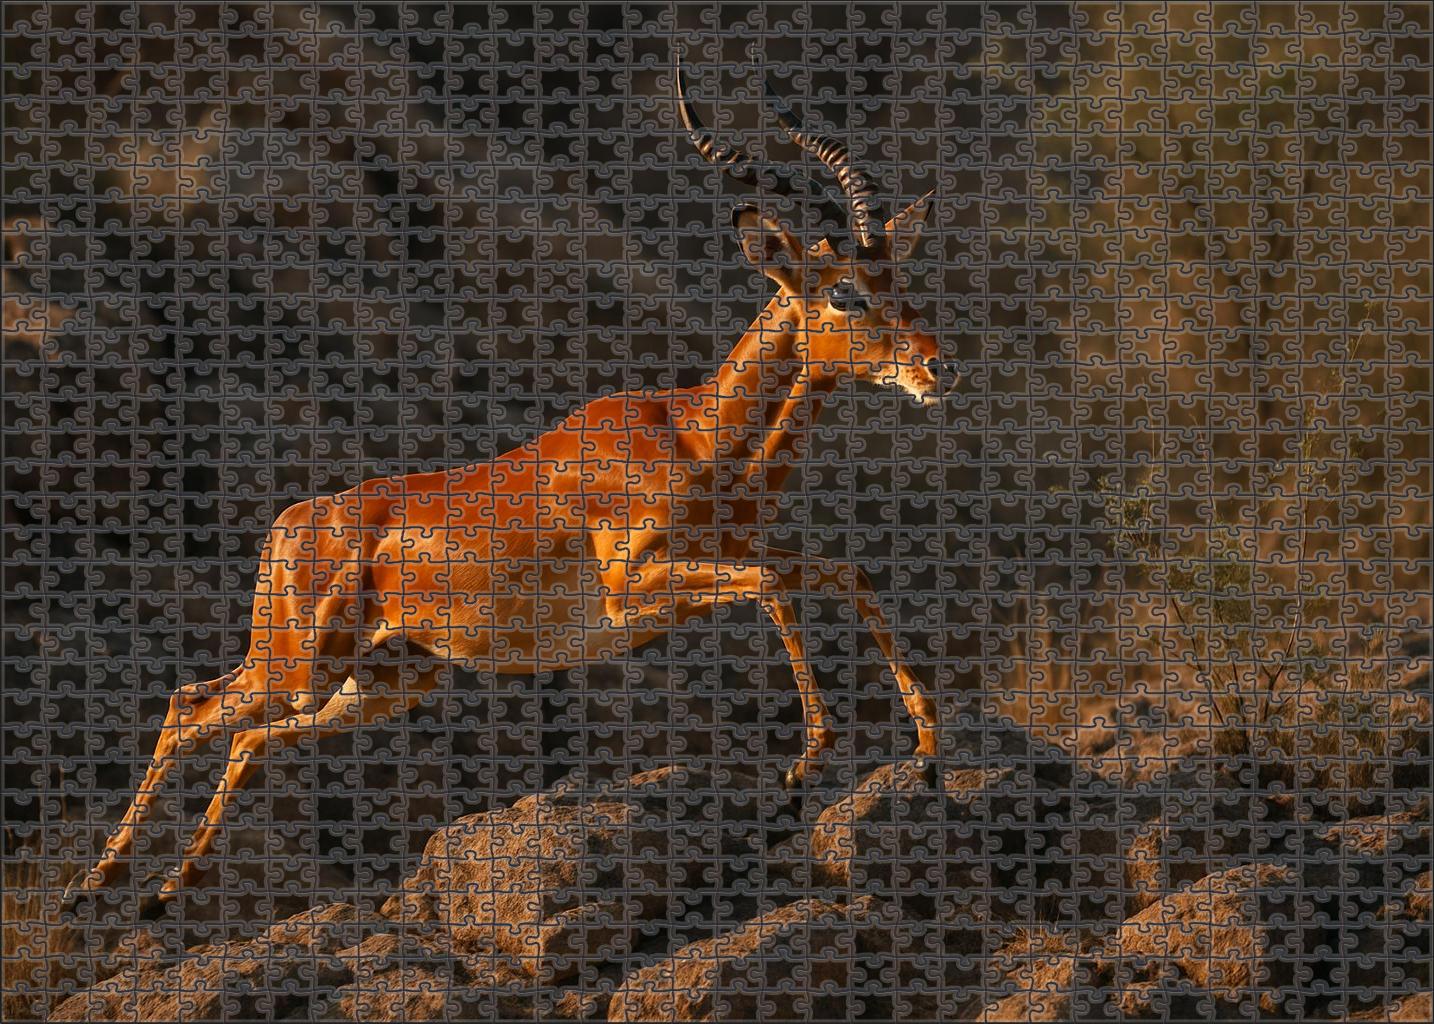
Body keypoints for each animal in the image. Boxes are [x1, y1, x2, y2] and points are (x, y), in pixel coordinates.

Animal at [63, 61, 959, 918]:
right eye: (843, 289)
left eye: (902, 280)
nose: (938, 367)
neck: (698, 435)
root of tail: (291, 522)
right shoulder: (634, 586)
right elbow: (776, 585)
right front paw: (807, 763)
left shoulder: (725, 558)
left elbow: (845, 573)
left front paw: (927, 754)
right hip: (299, 666)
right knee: (188, 708)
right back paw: (94, 886)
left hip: (380, 683)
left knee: (246, 739)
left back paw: (159, 892)